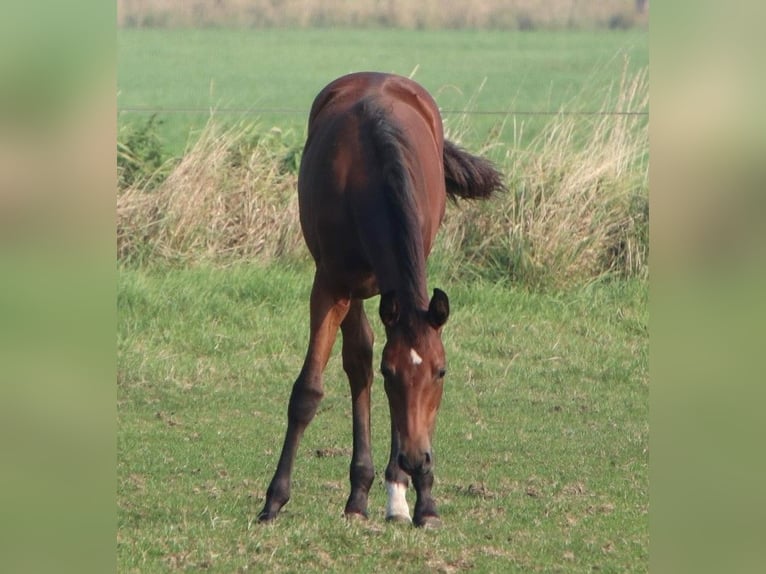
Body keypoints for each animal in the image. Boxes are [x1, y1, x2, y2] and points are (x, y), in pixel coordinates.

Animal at [260, 72, 508, 532]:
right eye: (390, 373)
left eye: (442, 372)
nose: (416, 460)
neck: (368, 173)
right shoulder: (331, 284)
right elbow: (309, 391)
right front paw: (274, 500)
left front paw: (423, 501)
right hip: (354, 290)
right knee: (358, 361)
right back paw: (359, 493)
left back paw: (390, 495)